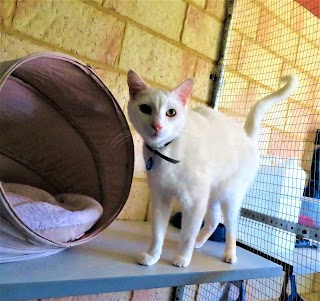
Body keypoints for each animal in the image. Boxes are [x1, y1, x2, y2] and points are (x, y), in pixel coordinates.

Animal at [127, 71, 298, 268]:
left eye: (171, 113)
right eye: (145, 109)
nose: (157, 126)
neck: (166, 150)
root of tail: (246, 136)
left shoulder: (194, 201)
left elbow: (187, 233)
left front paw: (183, 257)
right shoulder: (160, 197)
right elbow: (157, 232)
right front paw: (152, 255)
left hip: (229, 198)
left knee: (231, 228)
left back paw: (229, 254)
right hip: (211, 195)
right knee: (213, 222)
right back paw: (199, 242)